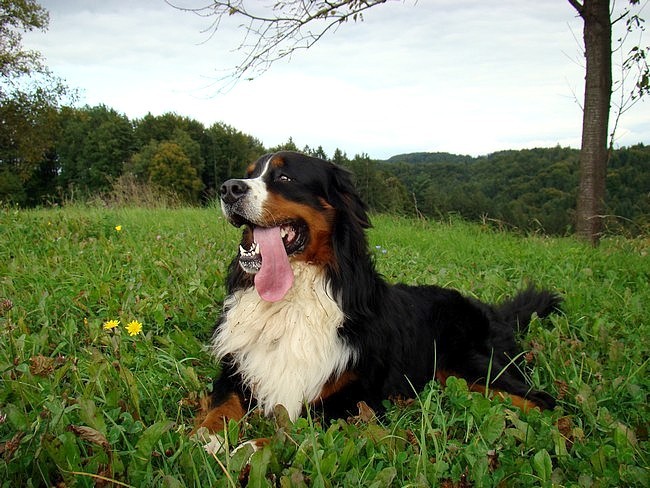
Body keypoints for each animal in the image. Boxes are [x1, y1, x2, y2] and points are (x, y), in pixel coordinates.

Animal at [196, 152, 556, 434]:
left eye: (285, 176)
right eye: (248, 174)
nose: (228, 188)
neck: (294, 298)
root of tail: (491, 311)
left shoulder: (350, 400)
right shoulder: (238, 367)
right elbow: (221, 405)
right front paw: (208, 438)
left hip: (473, 366)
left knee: (541, 401)